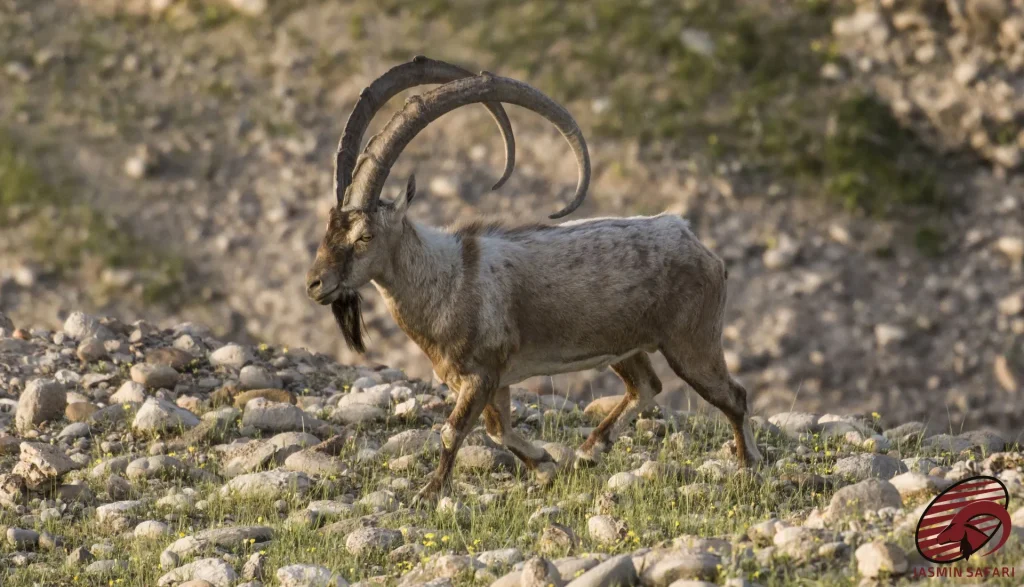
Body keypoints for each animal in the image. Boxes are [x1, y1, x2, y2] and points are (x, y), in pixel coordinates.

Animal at [306, 56, 763, 503]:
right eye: (327, 226)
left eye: (365, 235)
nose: (314, 284)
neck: (447, 279)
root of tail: (693, 240)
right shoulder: (492, 382)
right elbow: (497, 430)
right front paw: (545, 466)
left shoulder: (482, 375)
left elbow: (454, 431)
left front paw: (429, 493)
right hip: (624, 346)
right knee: (646, 386)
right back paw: (588, 453)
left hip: (691, 342)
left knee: (732, 396)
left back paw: (748, 465)